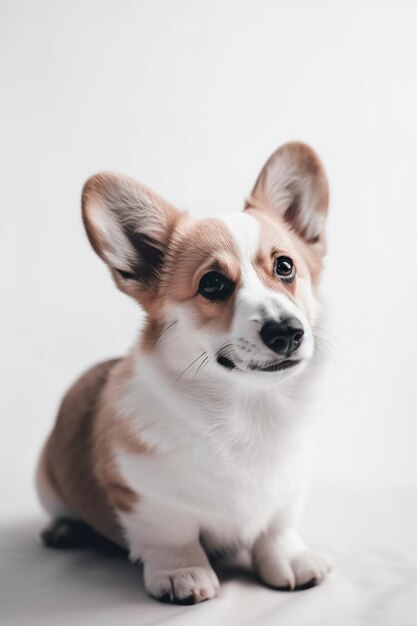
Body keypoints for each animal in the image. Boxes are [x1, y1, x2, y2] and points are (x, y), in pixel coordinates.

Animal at [37, 140, 334, 600]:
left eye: (285, 266)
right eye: (212, 283)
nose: (287, 332)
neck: (248, 408)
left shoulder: (288, 490)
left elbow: (277, 529)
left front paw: (289, 560)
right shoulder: (142, 493)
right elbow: (173, 534)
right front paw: (183, 574)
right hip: (46, 478)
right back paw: (64, 528)